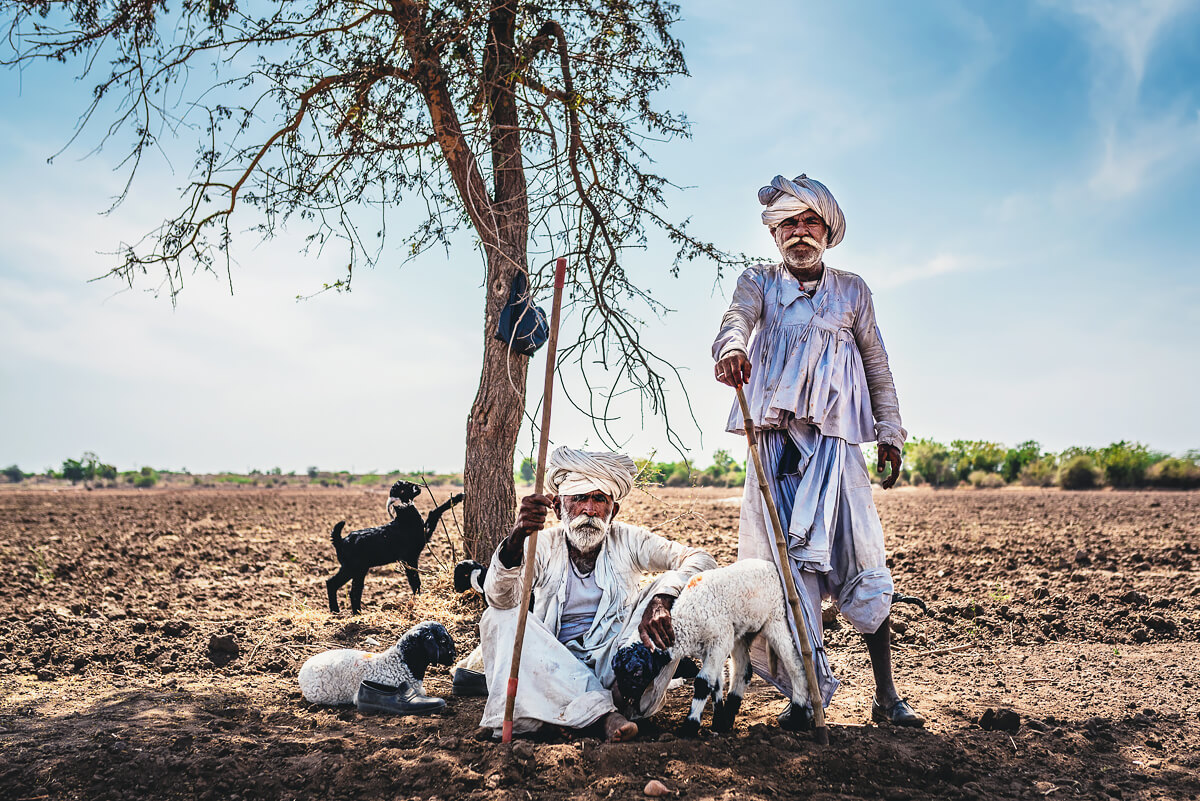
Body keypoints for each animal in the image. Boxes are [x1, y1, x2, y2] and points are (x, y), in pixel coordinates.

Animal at [328, 479, 463, 618]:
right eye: (406, 486)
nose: (418, 487)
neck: (404, 514)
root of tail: (340, 541)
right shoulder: (410, 556)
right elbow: (415, 580)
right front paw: (458, 497)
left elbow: (434, 513)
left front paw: (456, 498)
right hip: (354, 568)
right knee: (347, 588)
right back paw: (349, 613)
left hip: (354, 569)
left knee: (339, 586)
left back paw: (343, 612)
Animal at [609, 561, 816, 733]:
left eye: (636, 673)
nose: (624, 698)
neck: (685, 619)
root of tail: (771, 565)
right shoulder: (707, 649)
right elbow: (715, 683)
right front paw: (719, 722)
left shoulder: (719, 641)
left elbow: (703, 682)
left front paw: (689, 727)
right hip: (741, 632)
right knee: (744, 671)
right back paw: (730, 715)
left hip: (776, 618)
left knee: (796, 665)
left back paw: (796, 716)